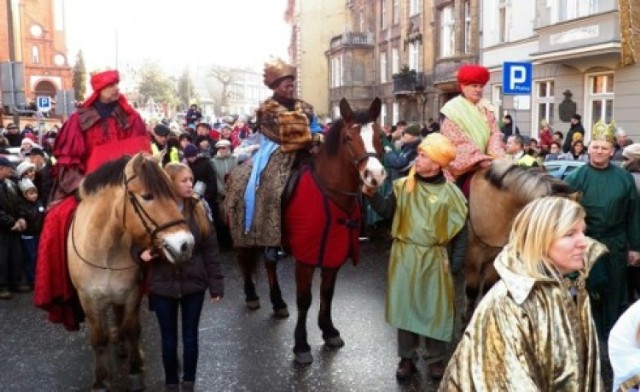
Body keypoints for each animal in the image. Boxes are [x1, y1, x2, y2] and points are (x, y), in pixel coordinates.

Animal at [67, 154, 195, 392]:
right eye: (147, 196)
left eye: (172, 193)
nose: (186, 245)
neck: (106, 251)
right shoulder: (88, 300)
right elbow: (99, 339)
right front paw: (101, 381)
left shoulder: (131, 293)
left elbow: (132, 330)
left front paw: (135, 371)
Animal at [231, 98, 384, 364]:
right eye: (348, 137)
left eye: (379, 135)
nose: (375, 176)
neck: (330, 193)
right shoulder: (305, 258)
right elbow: (304, 300)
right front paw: (301, 344)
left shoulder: (333, 253)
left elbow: (327, 293)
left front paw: (329, 330)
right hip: (244, 233)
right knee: (244, 262)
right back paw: (251, 296)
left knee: (269, 264)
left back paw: (278, 302)